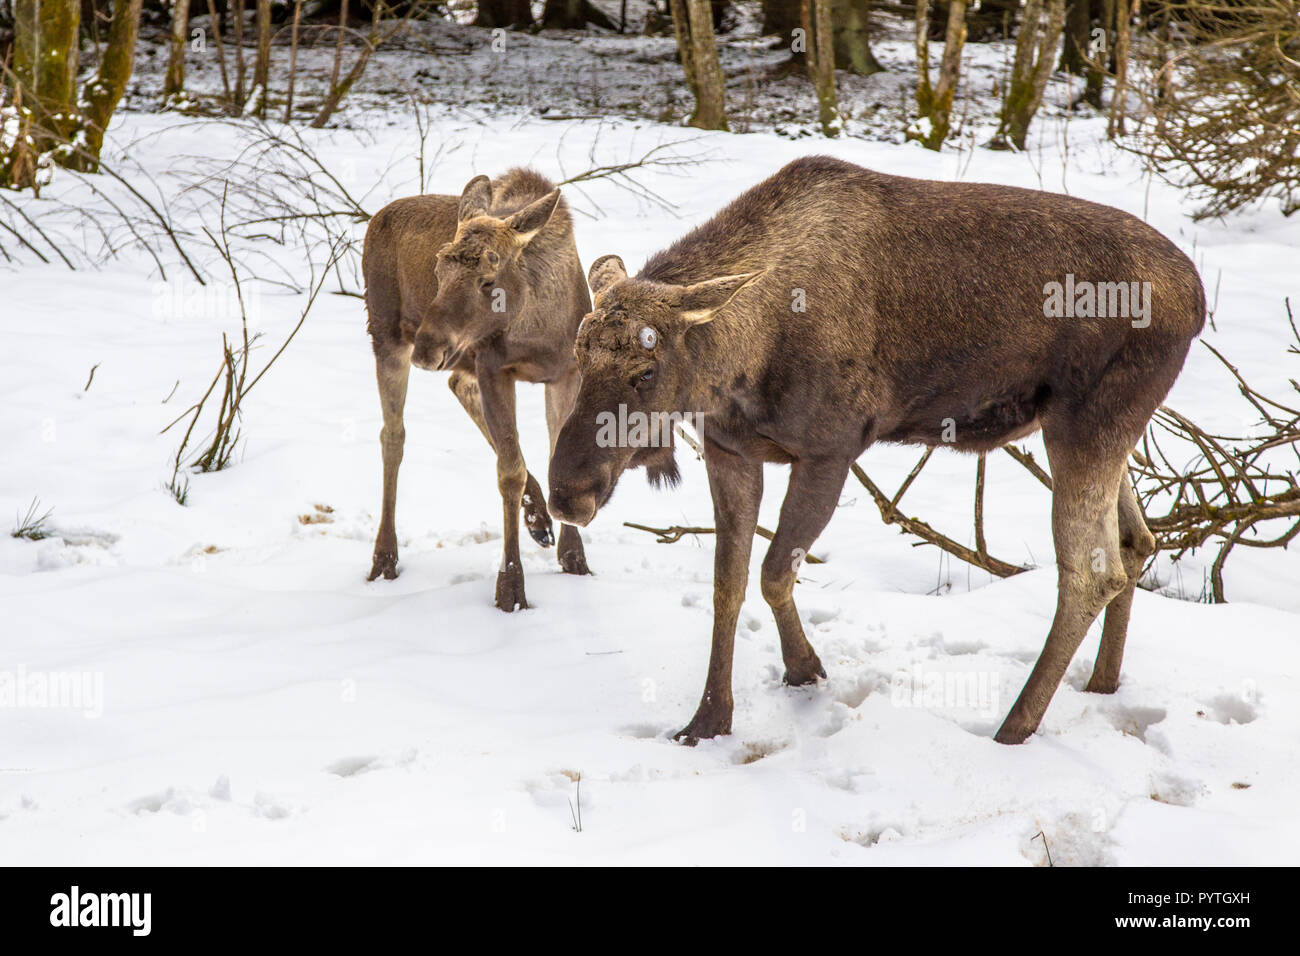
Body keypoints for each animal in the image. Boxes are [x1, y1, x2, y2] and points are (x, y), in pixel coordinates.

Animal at [364, 167, 592, 608]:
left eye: (488, 279)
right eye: (437, 271)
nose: (428, 347)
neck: (536, 328)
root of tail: (376, 216)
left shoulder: (566, 373)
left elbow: (554, 455)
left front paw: (574, 559)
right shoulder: (493, 369)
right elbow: (508, 472)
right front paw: (511, 590)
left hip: (453, 357)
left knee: (455, 386)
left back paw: (539, 520)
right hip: (386, 336)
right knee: (392, 436)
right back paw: (384, 559)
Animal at [543, 157, 1201, 743]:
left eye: (646, 372)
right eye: (578, 353)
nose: (567, 493)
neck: (740, 364)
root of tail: (1196, 299)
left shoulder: (829, 449)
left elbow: (774, 572)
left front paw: (804, 669)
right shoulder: (732, 451)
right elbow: (727, 585)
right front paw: (708, 719)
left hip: (1086, 422)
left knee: (1091, 573)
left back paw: (1014, 726)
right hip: (1103, 429)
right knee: (1137, 542)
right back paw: (1102, 683)